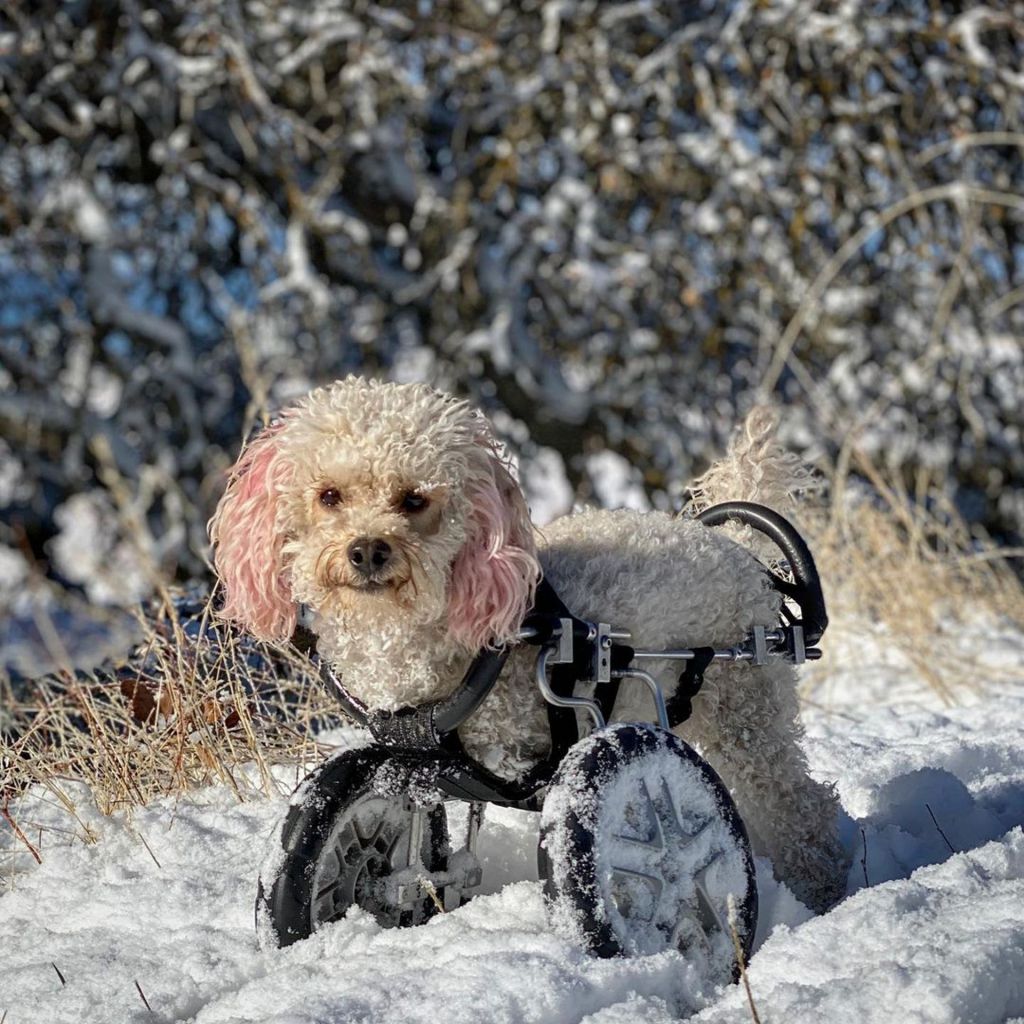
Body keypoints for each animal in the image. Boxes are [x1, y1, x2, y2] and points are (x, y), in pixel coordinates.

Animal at [207, 376, 847, 913]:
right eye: (328, 496)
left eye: (414, 499)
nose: (366, 550)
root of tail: (736, 545)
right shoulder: (412, 763)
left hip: (745, 709)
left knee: (803, 808)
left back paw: (821, 891)